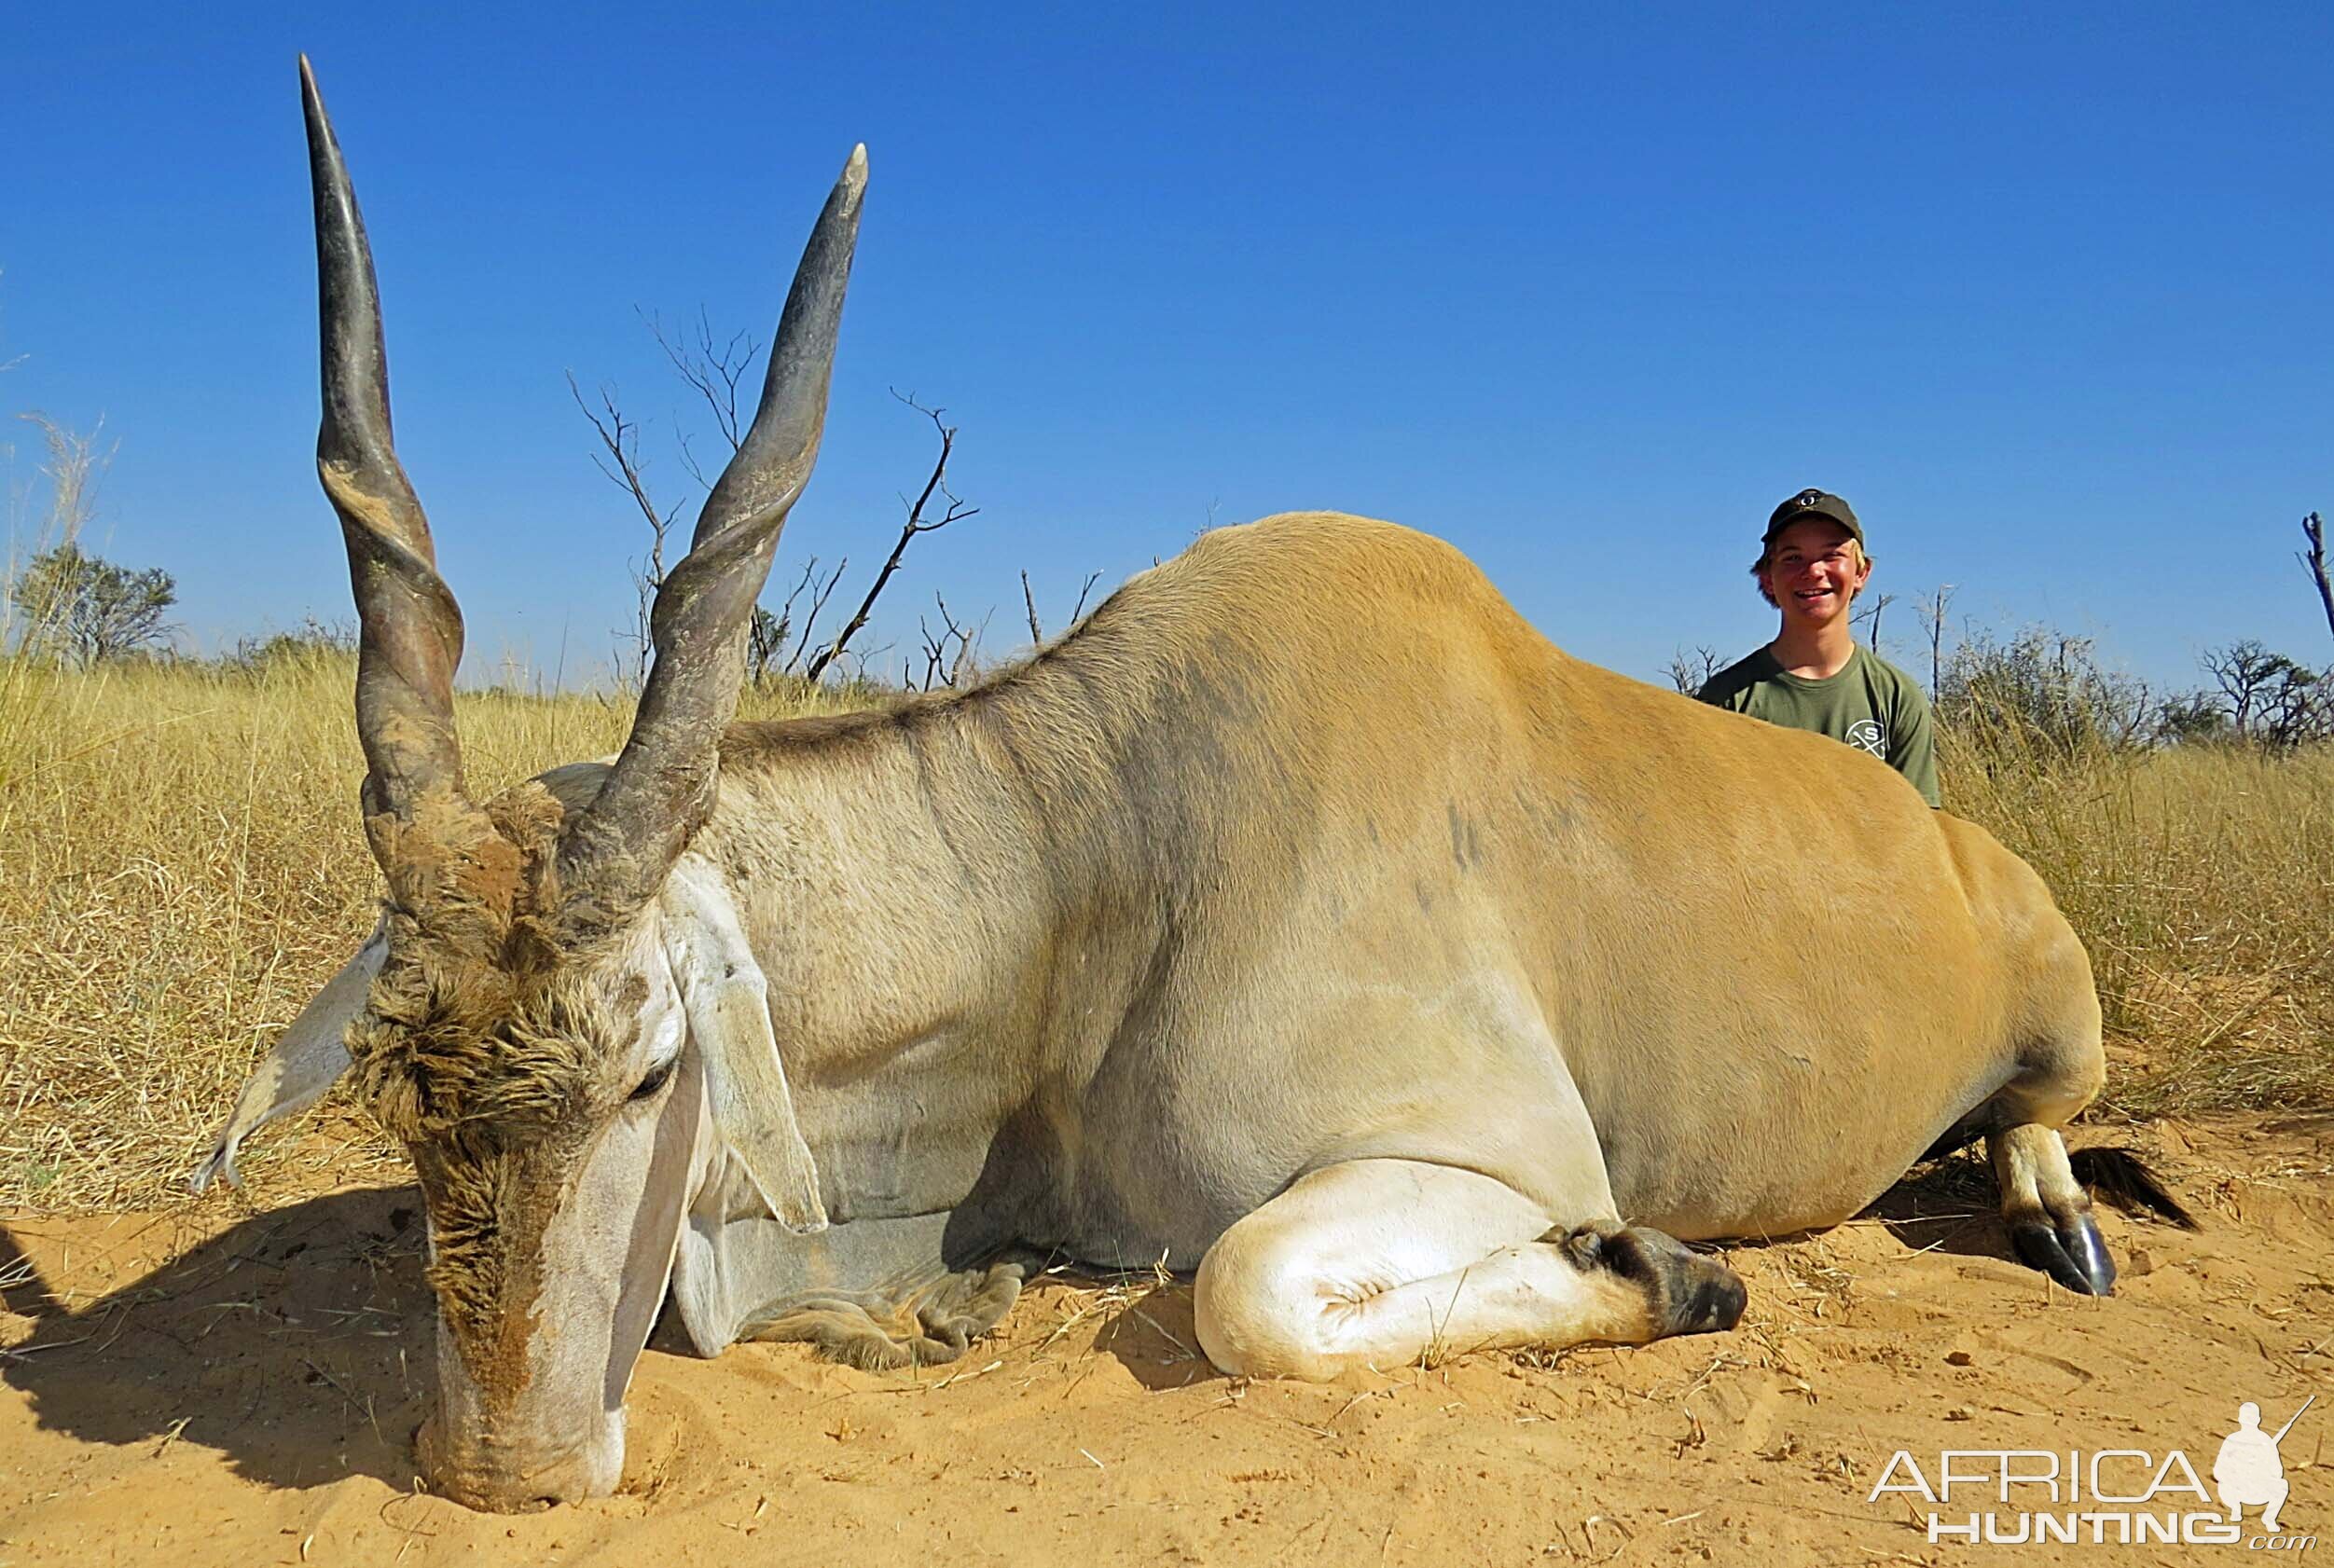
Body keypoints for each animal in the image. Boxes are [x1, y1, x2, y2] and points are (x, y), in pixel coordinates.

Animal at [196, 58, 2165, 1502]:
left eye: (649, 1074)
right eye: (396, 1084)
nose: (500, 1468)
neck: (1092, 864)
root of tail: (1957, 848)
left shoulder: (1497, 1148)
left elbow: (1244, 1291)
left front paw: (1671, 1265)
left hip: (2057, 1021)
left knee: (2037, 1115)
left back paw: (2050, 1211)